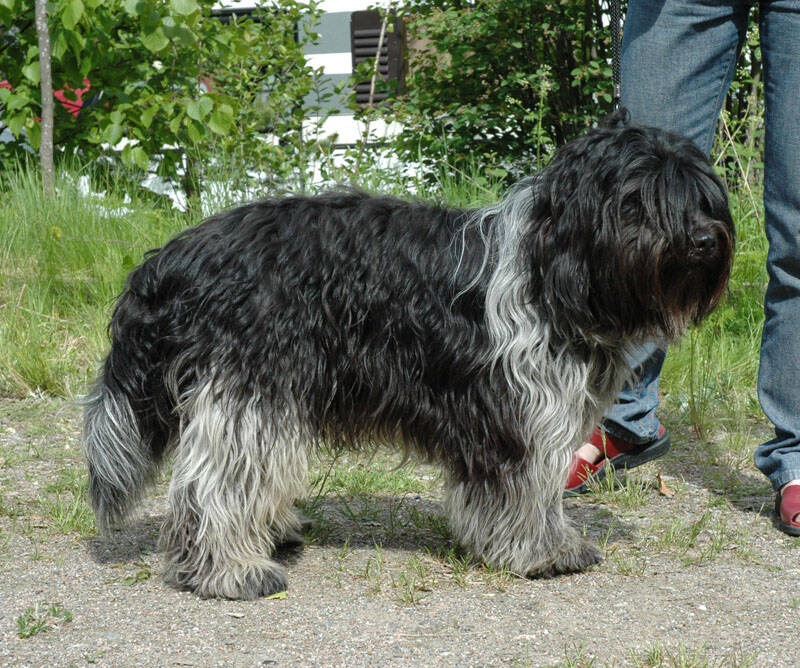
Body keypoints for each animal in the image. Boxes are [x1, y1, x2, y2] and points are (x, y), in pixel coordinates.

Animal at [83, 115, 735, 599]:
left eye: (703, 198)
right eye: (637, 200)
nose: (704, 241)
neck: (552, 266)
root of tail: (177, 256)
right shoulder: (516, 410)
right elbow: (527, 486)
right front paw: (545, 551)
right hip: (255, 385)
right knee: (214, 482)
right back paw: (229, 570)